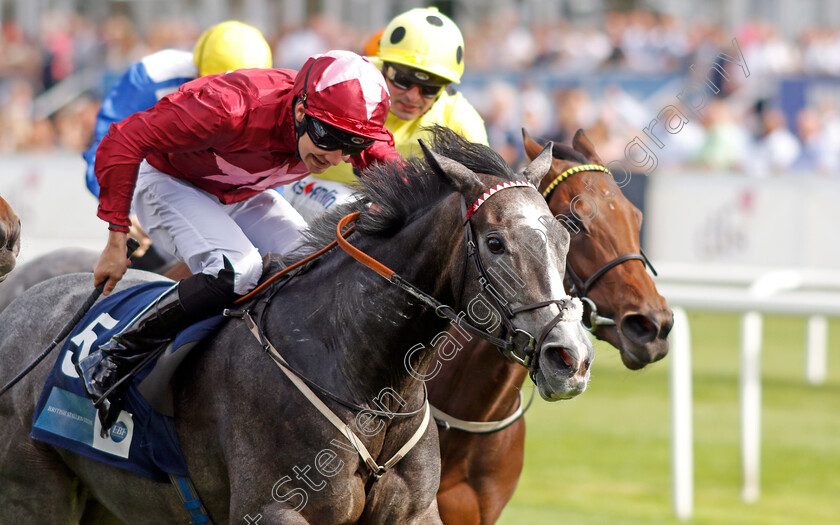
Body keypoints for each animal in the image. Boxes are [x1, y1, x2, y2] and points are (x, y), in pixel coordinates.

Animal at [0, 129, 592, 520]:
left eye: (565, 237)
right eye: (495, 243)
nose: (571, 358)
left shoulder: (417, 511)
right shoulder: (279, 510)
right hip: (35, 495)